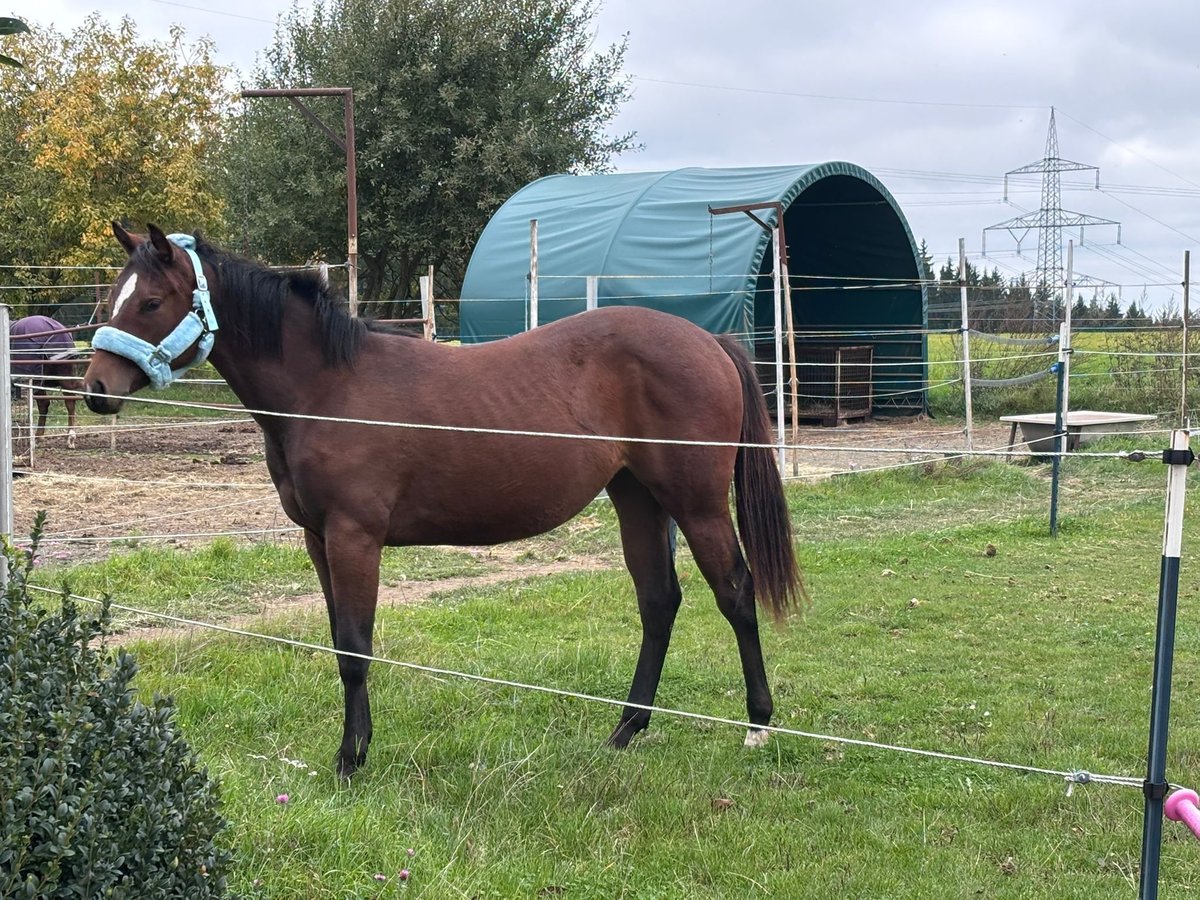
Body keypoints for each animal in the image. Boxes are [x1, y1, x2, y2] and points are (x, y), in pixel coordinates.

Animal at [82, 223, 804, 780]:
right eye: (113, 298)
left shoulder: (354, 536)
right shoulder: (317, 539)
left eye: (151, 301)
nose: (95, 389)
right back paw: (626, 731)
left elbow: (355, 646)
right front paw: (353, 750)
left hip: (697, 504)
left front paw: (351, 759)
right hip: (637, 499)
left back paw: (758, 725)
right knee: (658, 601)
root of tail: (708, 340)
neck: (325, 389)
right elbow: (339, 642)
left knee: (735, 593)